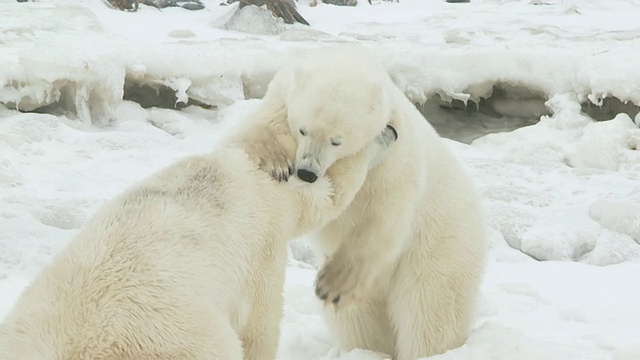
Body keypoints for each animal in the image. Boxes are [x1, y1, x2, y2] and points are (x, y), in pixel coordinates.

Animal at [238, 45, 488, 360]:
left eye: (337, 141)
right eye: (303, 130)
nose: (307, 172)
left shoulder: (395, 154)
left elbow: (385, 219)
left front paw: (333, 283)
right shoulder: (280, 99)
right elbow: (254, 131)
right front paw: (274, 162)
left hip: (441, 245)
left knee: (429, 310)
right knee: (358, 320)